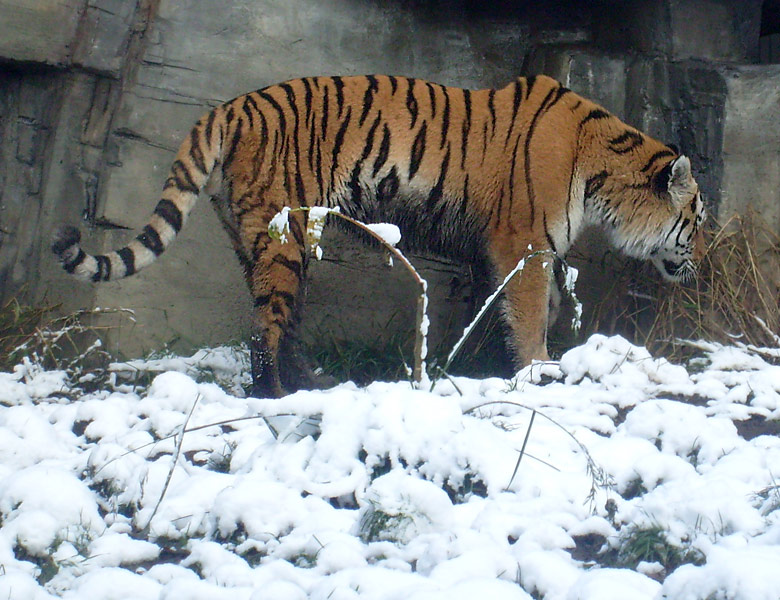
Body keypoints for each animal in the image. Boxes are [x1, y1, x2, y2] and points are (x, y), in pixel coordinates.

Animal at [50, 74, 708, 398]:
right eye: (698, 221)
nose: (702, 259)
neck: (604, 171)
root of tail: (228, 108)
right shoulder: (524, 243)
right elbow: (529, 314)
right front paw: (540, 370)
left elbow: (527, 308)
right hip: (284, 237)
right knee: (265, 330)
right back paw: (276, 395)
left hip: (264, 242)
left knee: (278, 319)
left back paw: (310, 384)